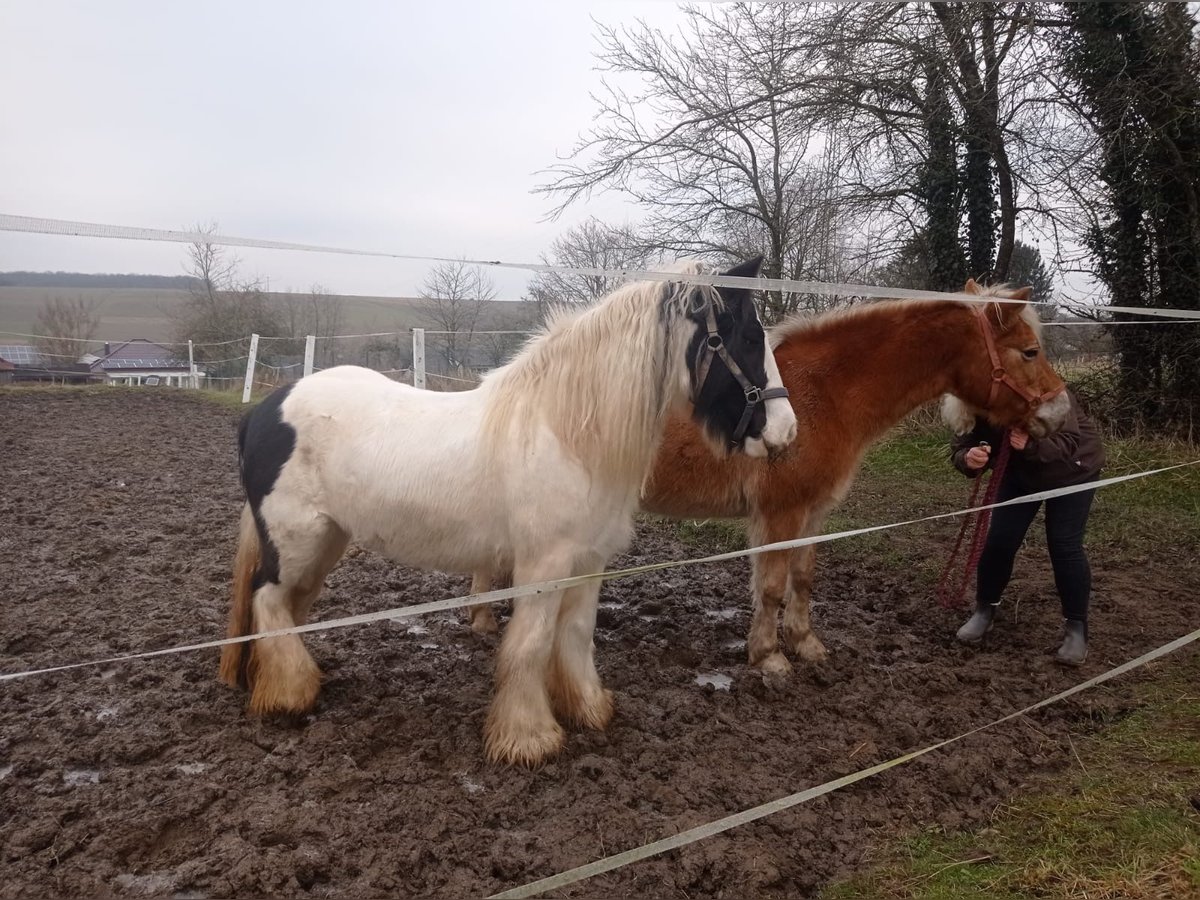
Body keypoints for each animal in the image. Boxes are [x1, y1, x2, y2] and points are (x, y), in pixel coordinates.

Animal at [218, 259, 796, 768]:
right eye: (749, 337)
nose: (786, 431)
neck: (567, 431)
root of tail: (263, 410)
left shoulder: (589, 564)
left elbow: (575, 636)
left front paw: (589, 709)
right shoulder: (543, 566)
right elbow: (530, 646)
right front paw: (528, 738)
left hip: (325, 542)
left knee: (285, 606)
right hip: (297, 540)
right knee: (267, 599)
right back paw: (291, 695)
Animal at [468, 282, 1070, 676]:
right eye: (1029, 350)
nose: (1060, 412)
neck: (825, 391)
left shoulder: (813, 511)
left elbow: (802, 578)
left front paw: (805, 644)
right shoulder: (780, 512)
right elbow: (774, 585)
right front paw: (770, 658)